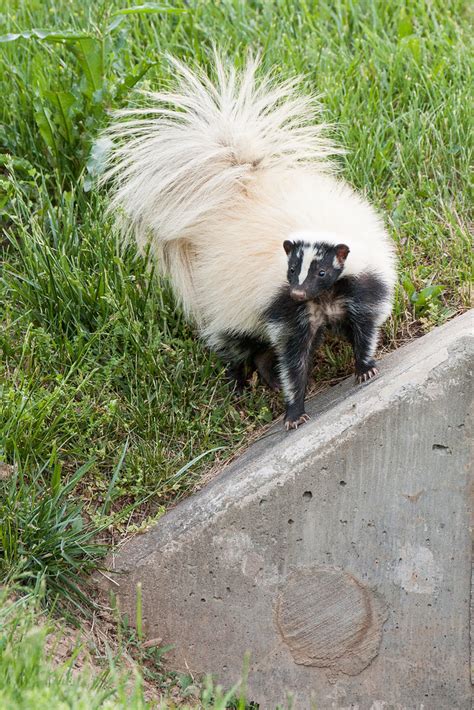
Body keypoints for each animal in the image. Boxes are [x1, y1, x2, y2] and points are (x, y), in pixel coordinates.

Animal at [103, 55, 396, 432]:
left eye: (321, 273)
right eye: (291, 270)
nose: (298, 292)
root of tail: (242, 189)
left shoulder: (360, 284)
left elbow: (365, 326)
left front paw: (365, 367)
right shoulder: (285, 307)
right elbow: (293, 357)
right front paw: (294, 410)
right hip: (226, 302)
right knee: (239, 344)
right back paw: (241, 379)